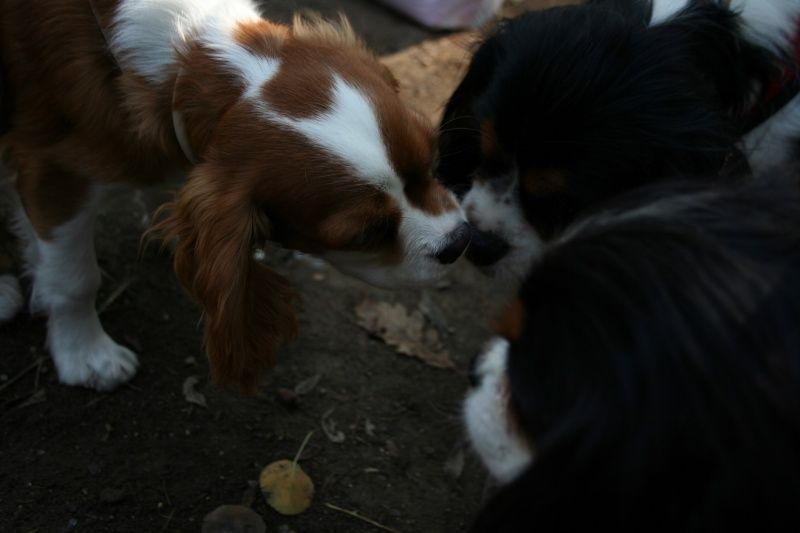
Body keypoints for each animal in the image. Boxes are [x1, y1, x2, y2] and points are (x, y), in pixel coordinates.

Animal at [0, 0, 468, 390]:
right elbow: (74, 278)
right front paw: (85, 353)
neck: (185, 61)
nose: (460, 243)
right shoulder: (56, 174)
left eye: (432, 162)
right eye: (366, 234)